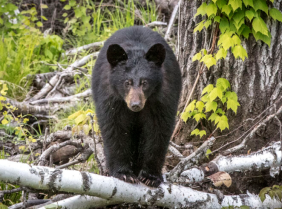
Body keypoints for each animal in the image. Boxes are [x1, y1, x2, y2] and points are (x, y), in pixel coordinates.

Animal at [91, 26, 182, 188]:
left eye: (145, 82)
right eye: (127, 82)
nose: (135, 105)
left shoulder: (162, 98)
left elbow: (158, 130)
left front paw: (150, 176)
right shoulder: (111, 99)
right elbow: (114, 129)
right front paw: (124, 173)